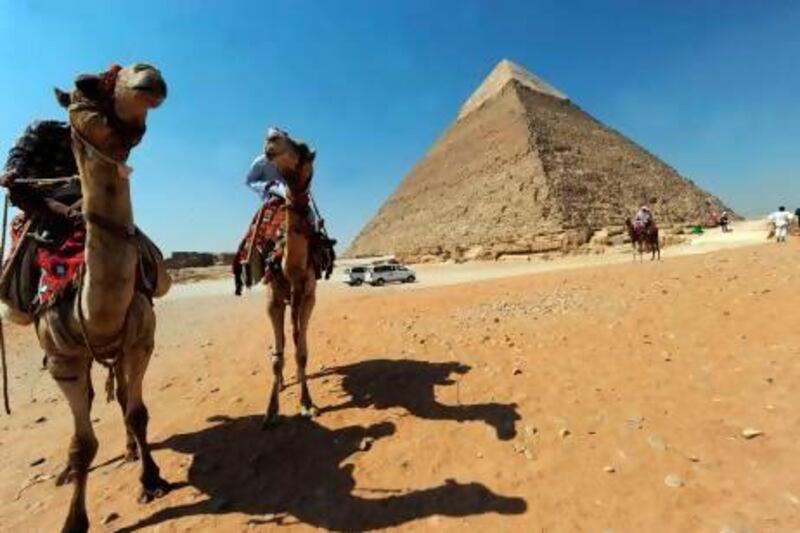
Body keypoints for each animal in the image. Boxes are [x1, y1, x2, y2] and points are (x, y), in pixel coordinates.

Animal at [36, 63, 172, 532]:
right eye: (85, 84)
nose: (148, 75)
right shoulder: (63, 360)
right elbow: (82, 444)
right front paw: (74, 520)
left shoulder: (141, 341)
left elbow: (137, 412)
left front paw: (151, 479)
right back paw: (66, 472)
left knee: (125, 395)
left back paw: (131, 449)